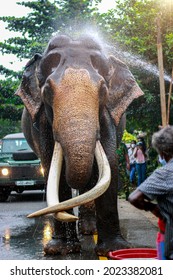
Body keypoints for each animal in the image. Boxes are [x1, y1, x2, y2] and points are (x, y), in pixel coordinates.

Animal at [15, 34, 143, 258]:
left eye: (103, 90)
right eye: (47, 91)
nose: (71, 217)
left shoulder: (108, 116)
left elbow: (110, 163)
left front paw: (114, 249)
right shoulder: (41, 122)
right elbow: (51, 169)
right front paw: (59, 249)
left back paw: (89, 230)